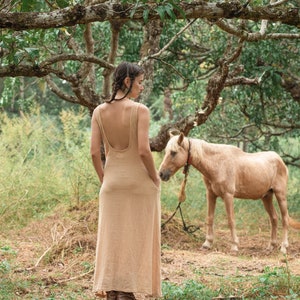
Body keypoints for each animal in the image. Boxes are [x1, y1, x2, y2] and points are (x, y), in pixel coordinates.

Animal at [158, 132, 298, 253]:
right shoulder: (211, 194)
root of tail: (280, 160)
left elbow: (231, 220)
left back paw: (283, 247)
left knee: (284, 219)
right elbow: (210, 217)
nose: (161, 174)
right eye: (166, 151)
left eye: (173, 152)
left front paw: (234, 246)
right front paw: (207, 243)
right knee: (274, 218)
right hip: (266, 197)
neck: (217, 164)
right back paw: (271, 246)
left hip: (280, 195)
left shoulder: (228, 195)